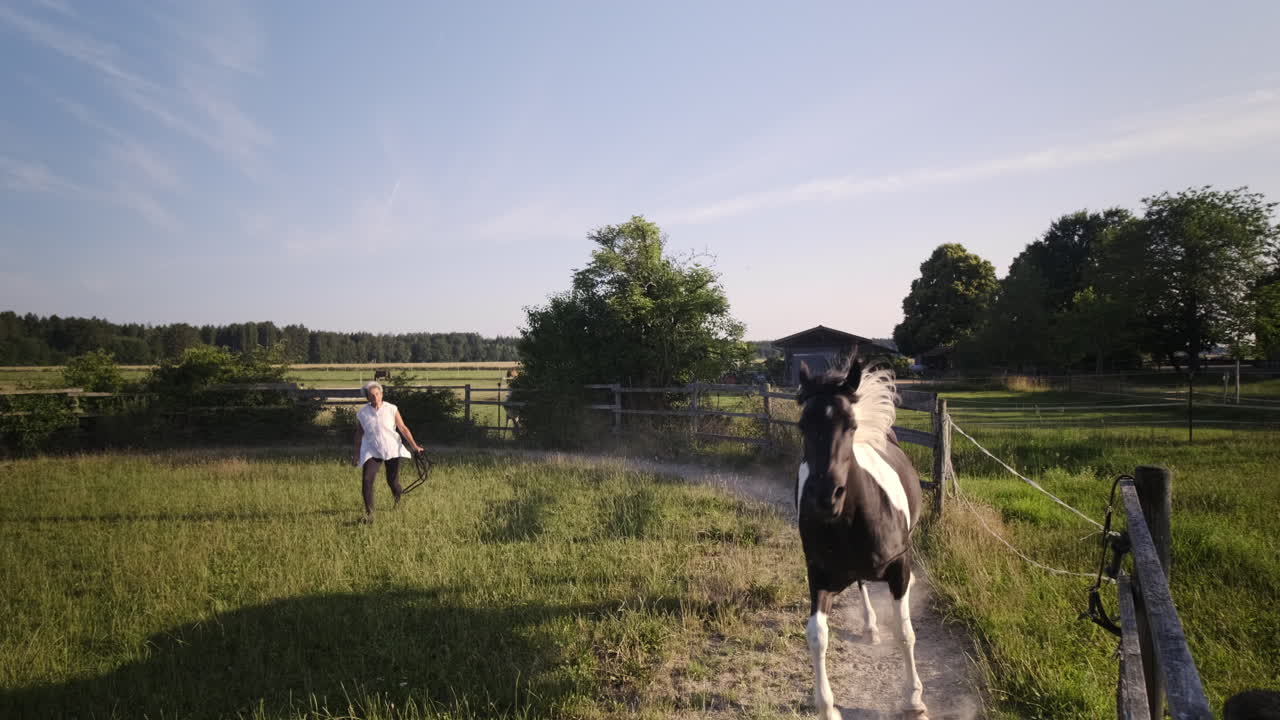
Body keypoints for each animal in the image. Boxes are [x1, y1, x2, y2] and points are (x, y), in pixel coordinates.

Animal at [795, 358, 927, 719]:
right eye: (802, 425)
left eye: (851, 425)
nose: (826, 497)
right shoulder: (819, 575)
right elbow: (817, 635)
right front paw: (827, 708)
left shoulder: (899, 567)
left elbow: (905, 632)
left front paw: (914, 699)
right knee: (861, 582)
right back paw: (869, 626)